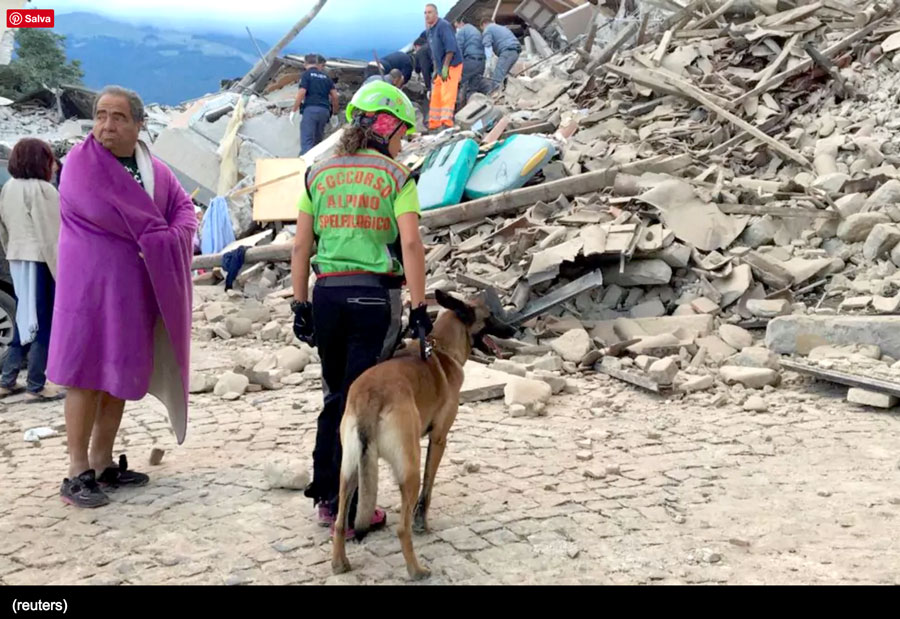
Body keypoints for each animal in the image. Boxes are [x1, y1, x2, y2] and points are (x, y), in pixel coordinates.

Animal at [330, 290, 512, 580]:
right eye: (491, 316)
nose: (514, 329)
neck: (441, 347)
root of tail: (371, 395)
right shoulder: (438, 440)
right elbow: (428, 489)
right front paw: (421, 523)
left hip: (350, 470)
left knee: (338, 521)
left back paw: (340, 563)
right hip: (409, 467)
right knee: (401, 527)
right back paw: (416, 570)